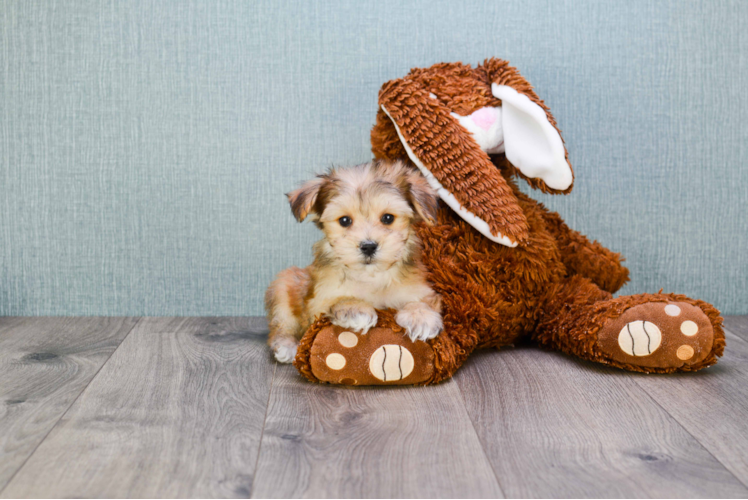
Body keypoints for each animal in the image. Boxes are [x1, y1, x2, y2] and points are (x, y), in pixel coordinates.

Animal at [268, 160, 444, 364]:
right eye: (345, 221)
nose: (368, 246)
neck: (371, 276)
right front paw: (354, 309)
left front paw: (420, 316)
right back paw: (286, 346)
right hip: (284, 284)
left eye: (388, 218)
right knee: (282, 324)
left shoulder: (419, 289)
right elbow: (337, 299)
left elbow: (420, 300)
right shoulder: (318, 302)